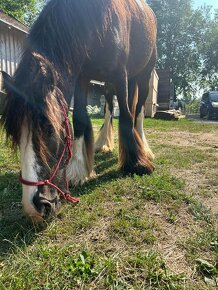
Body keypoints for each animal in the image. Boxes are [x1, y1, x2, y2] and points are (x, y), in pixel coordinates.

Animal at [0, 0, 157, 222]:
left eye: (49, 129)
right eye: (15, 135)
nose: (36, 208)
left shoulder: (121, 75)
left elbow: (127, 116)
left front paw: (136, 164)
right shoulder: (82, 77)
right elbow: (81, 118)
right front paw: (78, 170)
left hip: (143, 75)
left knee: (139, 113)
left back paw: (143, 147)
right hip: (109, 84)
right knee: (109, 109)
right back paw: (103, 144)